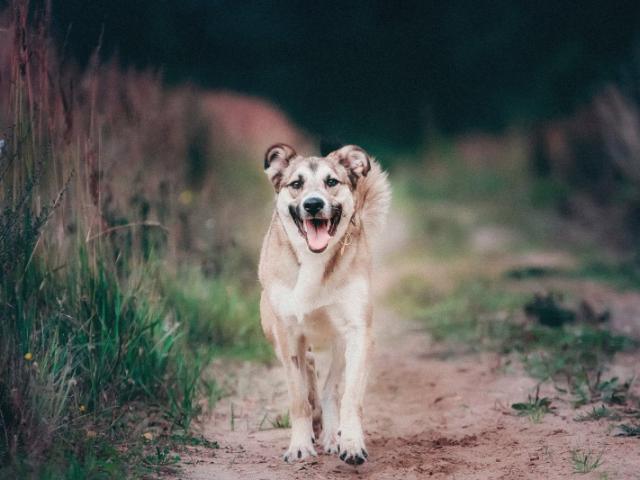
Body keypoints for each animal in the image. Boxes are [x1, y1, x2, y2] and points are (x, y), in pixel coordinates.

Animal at [258, 142, 390, 464]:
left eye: (331, 182)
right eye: (296, 184)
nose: (314, 204)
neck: (314, 259)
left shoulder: (359, 333)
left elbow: (350, 397)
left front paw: (351, 443)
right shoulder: (288, 334)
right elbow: (298, 399)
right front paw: (299, 445)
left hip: (340, 342)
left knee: (330, 388)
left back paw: (331, 434)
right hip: (274, 332)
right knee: (309, 370)